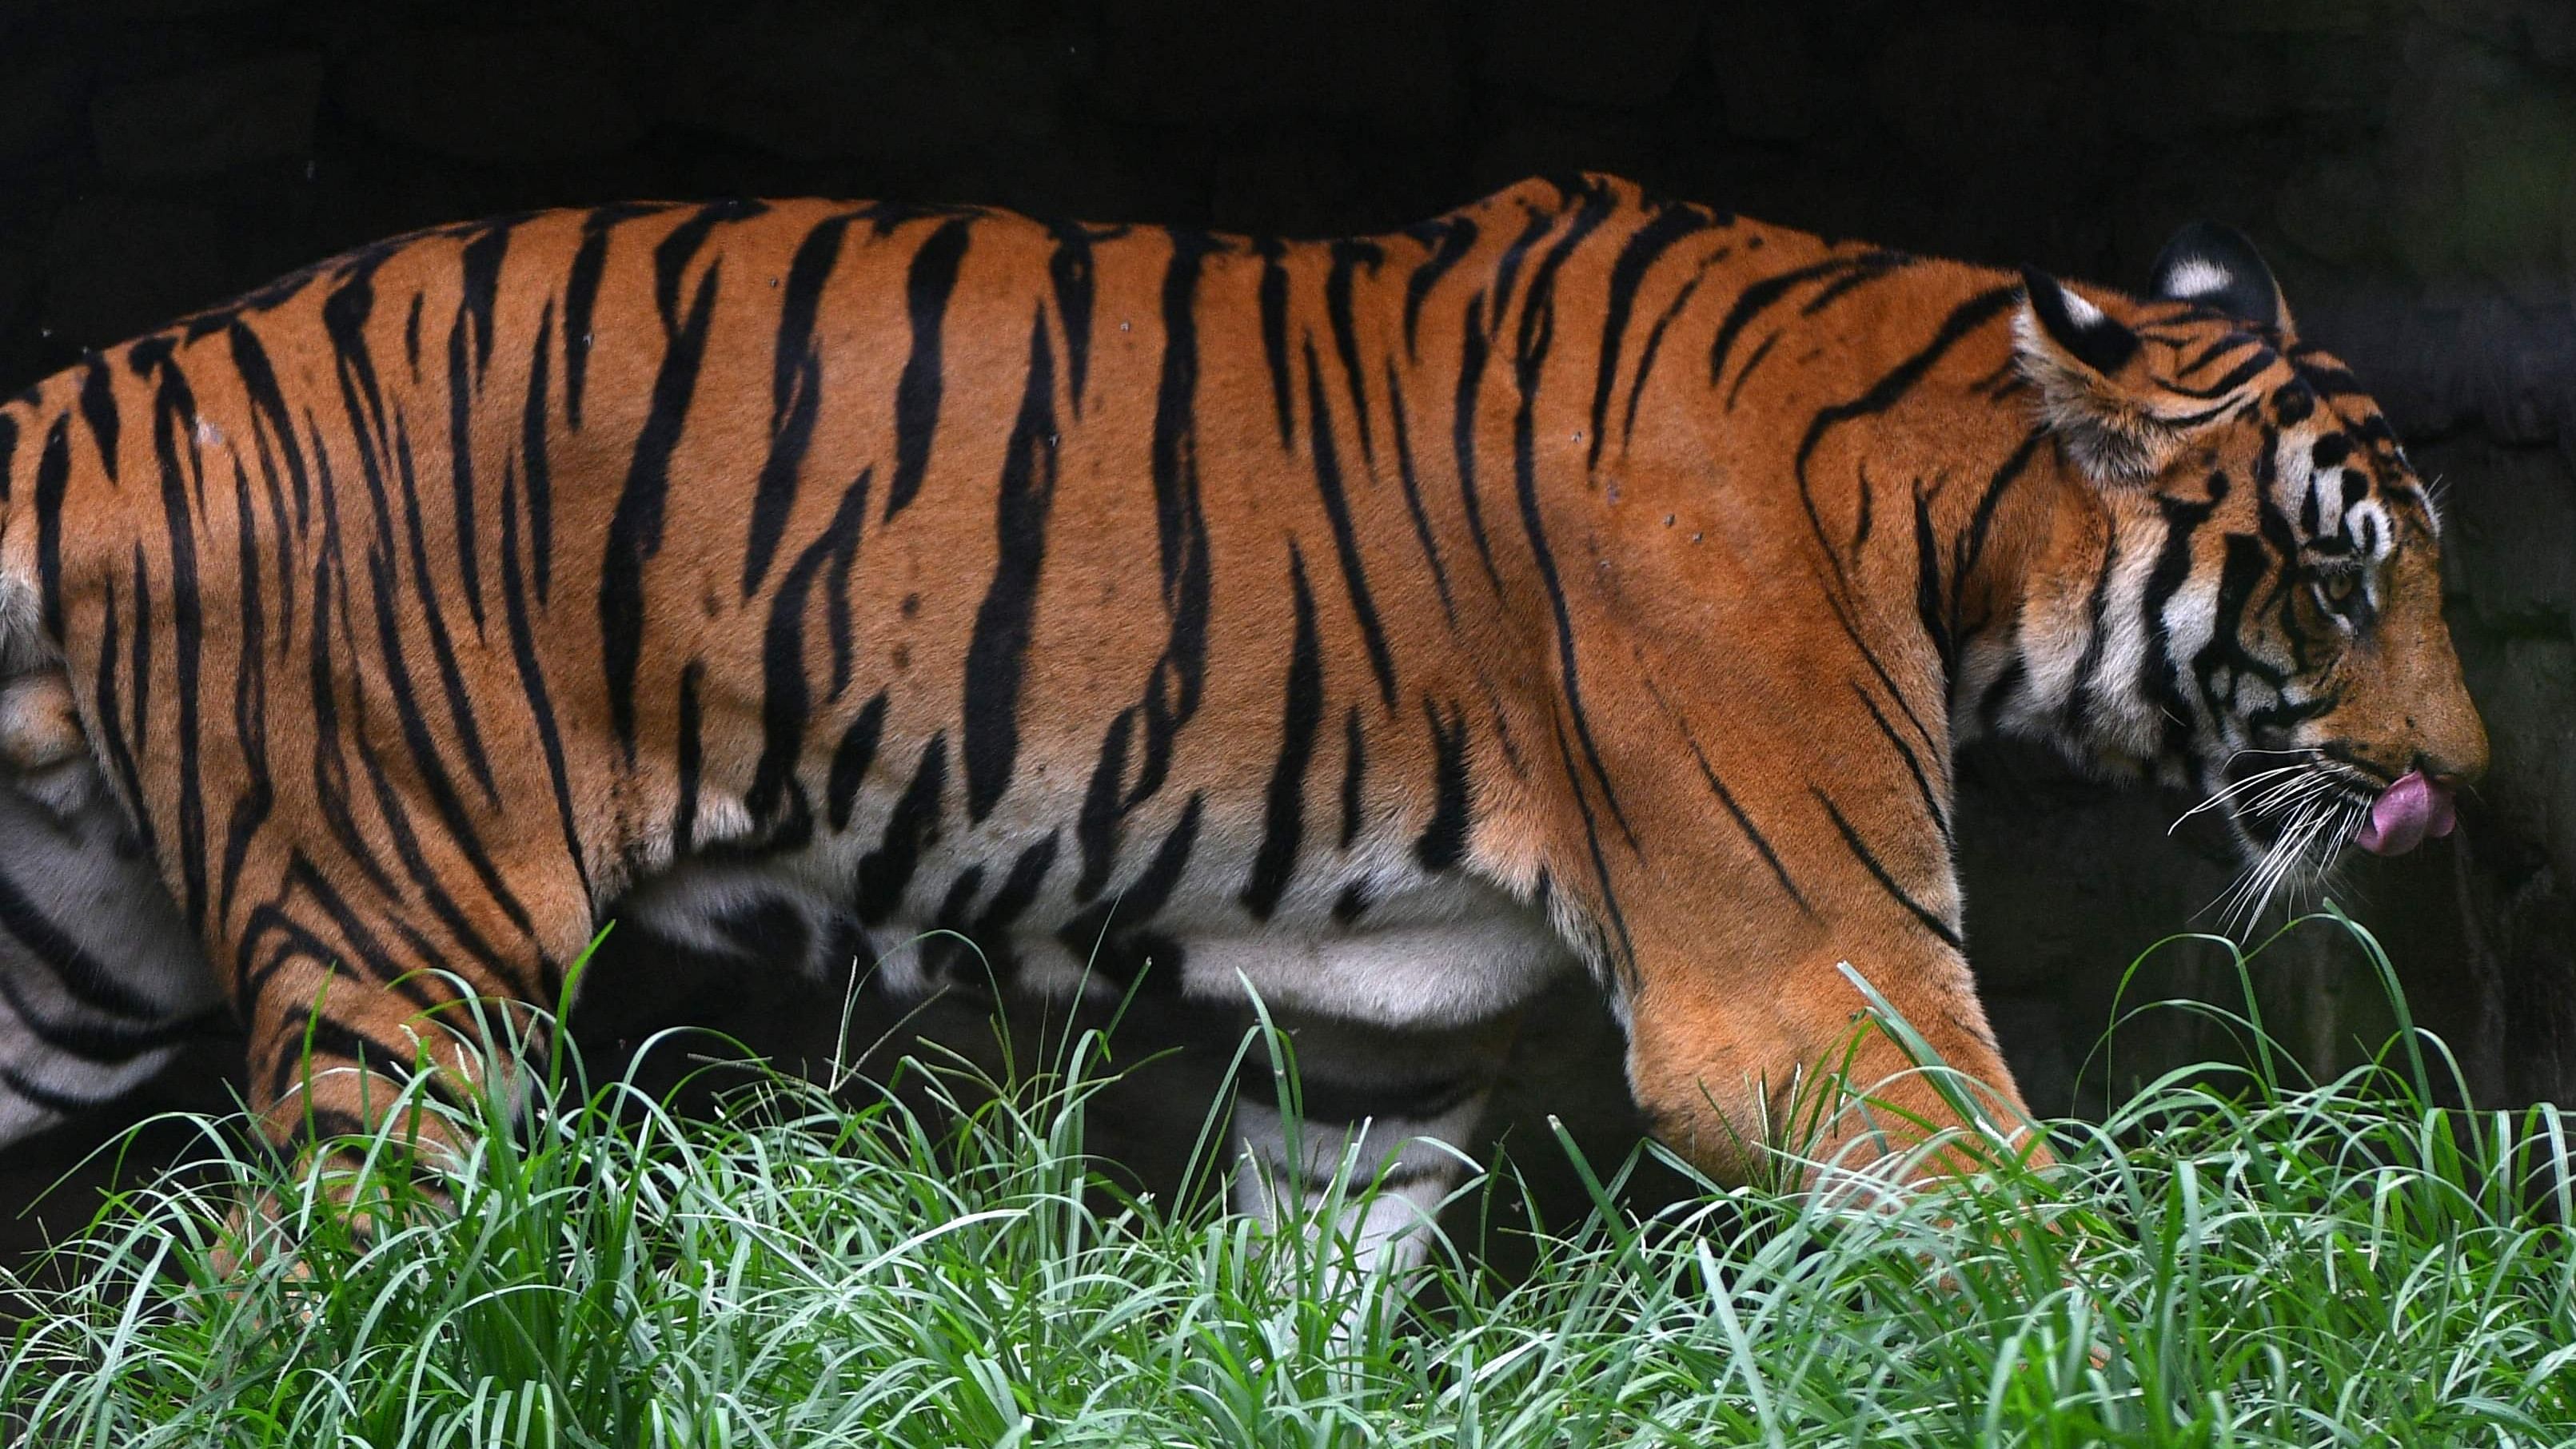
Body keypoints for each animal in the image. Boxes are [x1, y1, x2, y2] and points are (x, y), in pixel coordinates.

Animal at [0, 169, 2493, 1266]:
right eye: (2342, 573)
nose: (2460, 788)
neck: (1940, 508)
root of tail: (131, 379)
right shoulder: (1810, 989)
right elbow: (2048, 1248)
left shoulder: (1378, 1044)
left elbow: (1323, 1281)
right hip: (403, 969)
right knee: (320, 1304)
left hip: (70, 960)